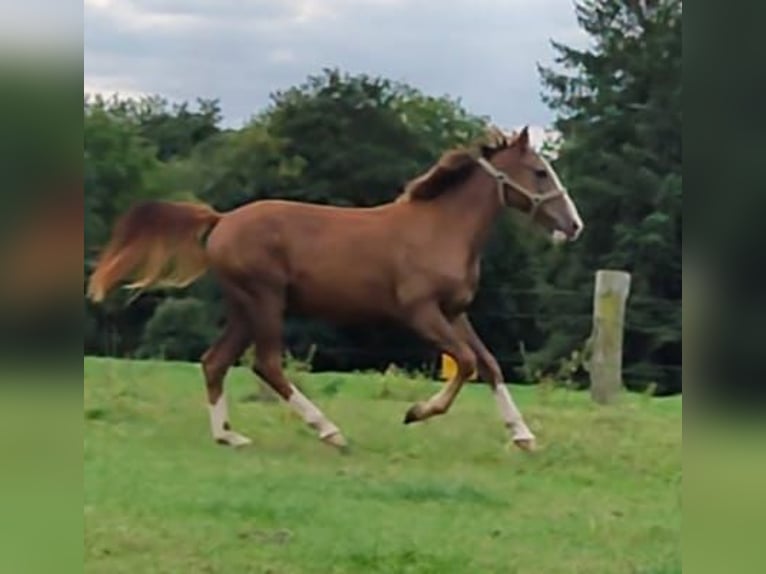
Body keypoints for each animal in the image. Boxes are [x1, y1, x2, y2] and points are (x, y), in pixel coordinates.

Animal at [87, 126, 584, 454]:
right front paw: (416, 412)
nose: (574, 225)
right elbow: (465, 363)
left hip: (246, 308)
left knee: (215, 362)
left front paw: (523, 435)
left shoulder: (455, 311)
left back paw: (229, 435)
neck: (441, 229)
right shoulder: (420, 311)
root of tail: (221, 220)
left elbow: (491, 364)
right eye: (540, 172)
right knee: (266, 364)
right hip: (264, 301)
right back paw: (329, 431)